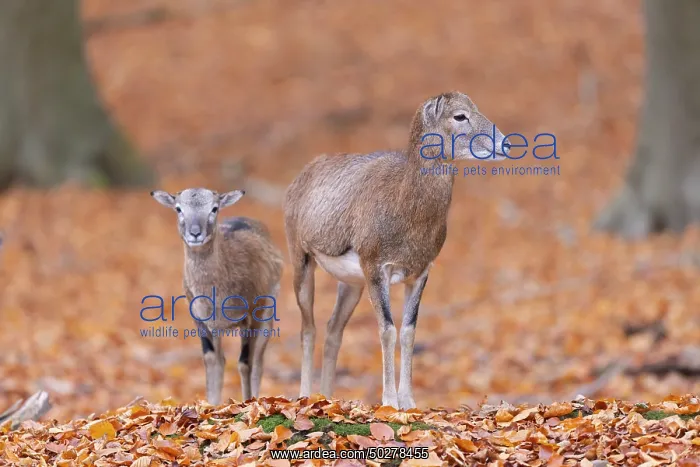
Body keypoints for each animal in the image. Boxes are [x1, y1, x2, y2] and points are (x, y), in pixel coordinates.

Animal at [151, 188, 283, 405]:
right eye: (178, 208)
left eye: (214, 208)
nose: (195, 233)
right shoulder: (200, 320)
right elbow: (212, 360)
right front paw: (212, 405)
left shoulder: (250, 314)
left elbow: (245, 363)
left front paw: (248, 402)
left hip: (267, 311)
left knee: (258, 360)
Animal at [283, 91, 510, 408]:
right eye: (460, 116)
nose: (506, 144)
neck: (404, 208)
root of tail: (300, 179)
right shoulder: (376, 269)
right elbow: (388, 331)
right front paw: (390, 402)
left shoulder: (419, 274)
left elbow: (408, 332)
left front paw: (410, 402)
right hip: (302, 262)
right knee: (308, 328)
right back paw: (305, 396)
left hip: (352, 285)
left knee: (333, 330)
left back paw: (326, 397)